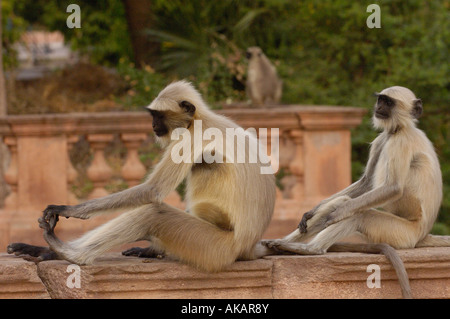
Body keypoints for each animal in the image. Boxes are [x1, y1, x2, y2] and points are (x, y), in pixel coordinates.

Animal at [7, 80, 276, 272]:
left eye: (158, 116)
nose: (153, 126)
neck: (199, 120)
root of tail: (246, 247)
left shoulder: (190, 139)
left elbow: (152, 191)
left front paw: (69, 209)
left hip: (215, 248)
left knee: (154, 212)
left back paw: (70, 253)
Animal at [262, 85, 448, 300]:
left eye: (389, 102)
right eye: (381, 100)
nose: (379, 108)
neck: (399, 129)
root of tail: (421, 234)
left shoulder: (399, 142)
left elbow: (392, 187)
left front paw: (335, 215)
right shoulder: (382, 139)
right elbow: (366, 183)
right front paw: (312, 211)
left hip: (402, 235)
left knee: (358, 214)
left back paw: (311, 248)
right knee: (344, 201)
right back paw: (283, 243)